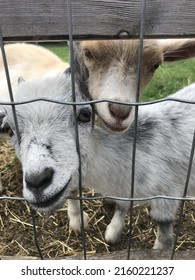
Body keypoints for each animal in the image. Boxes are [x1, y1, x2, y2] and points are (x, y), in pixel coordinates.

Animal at [0, 72, 194, 249]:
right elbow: (121, 206)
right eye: (8, 129)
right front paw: (113, 232)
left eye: (85, 115)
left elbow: (164, 233)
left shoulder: (167, 195)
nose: (37, 181)